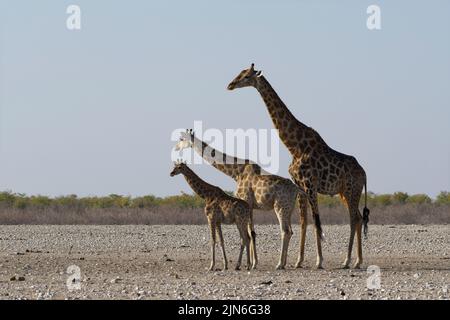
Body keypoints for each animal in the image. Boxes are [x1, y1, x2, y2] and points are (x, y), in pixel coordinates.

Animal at [174, 130, 308, 270]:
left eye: (181, 138)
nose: (176, 148)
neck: (236, 172)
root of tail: (296, 189)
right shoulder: (250, 206)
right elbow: (252, 233)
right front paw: (253, 263)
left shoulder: (245, 200)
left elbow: (249, 233)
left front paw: (252, 264)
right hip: (289, 208)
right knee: (290, 231)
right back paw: (286, 263)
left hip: (280, 207)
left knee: (285, 231)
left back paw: (279, 264)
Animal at [227, 63, 370, 268]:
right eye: (240, 72)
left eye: (246, 76)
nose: (230, 85)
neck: (294, 146)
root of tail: (364, 173)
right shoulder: (300, 186)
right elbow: (304, 221)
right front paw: (298, 261)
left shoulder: (310, 184)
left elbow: (317, 222)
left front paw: (319, 261)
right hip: (345, 192)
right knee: (358, 217)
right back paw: (357, 260)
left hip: (352, 189)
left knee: (354, 218)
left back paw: (348, 260)